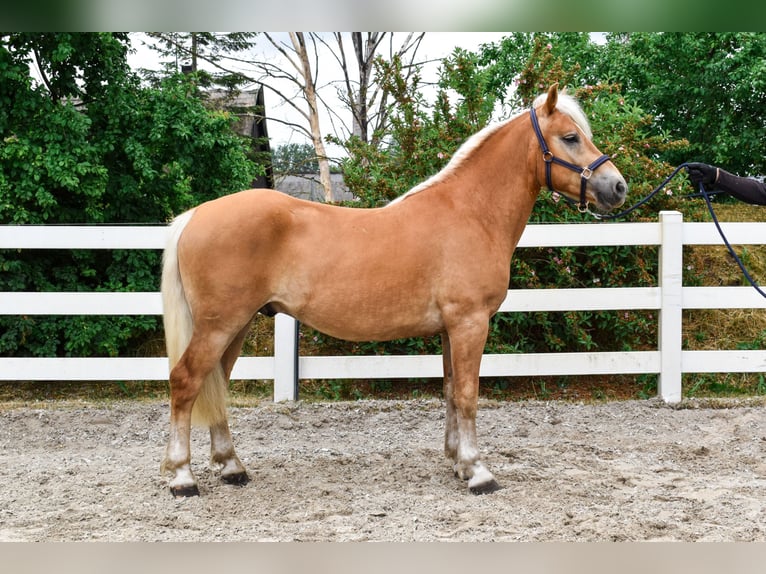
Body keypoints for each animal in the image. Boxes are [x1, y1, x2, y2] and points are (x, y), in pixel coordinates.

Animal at [160, 83, 632, 498]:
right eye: (570, 137)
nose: (618, 187)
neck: (471, 213)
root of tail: (195, 215)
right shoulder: (470, 323)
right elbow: (468, 394)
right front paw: (479, 472)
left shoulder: (451, 329)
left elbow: (450, 391)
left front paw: (458, 463)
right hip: (219, 325)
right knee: (186, 382)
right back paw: (183, 478)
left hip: (235, 326)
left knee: (217, 383)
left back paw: (232, 467)